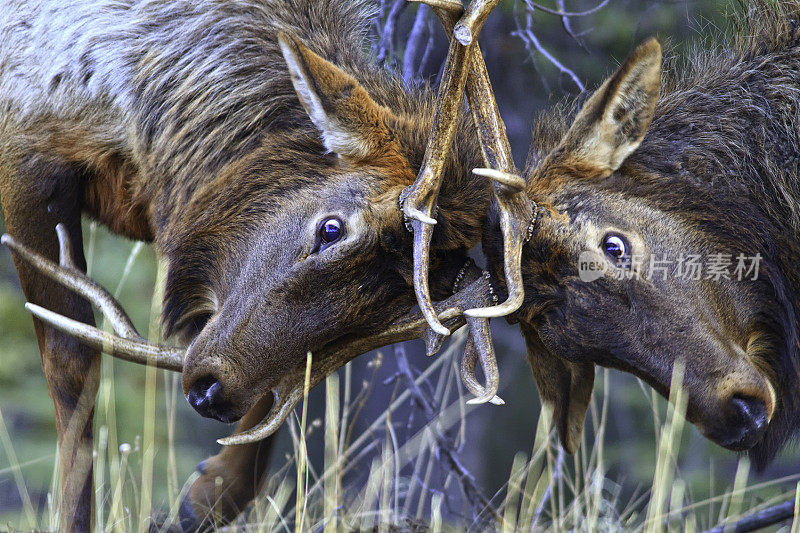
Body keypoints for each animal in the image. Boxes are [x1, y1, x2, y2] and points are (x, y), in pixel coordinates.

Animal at [0, 0, 520, 524]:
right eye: (330, 229)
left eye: (392, 311)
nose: (212, 390)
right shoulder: (23, 145)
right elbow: (73, 371)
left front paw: (203, 497)